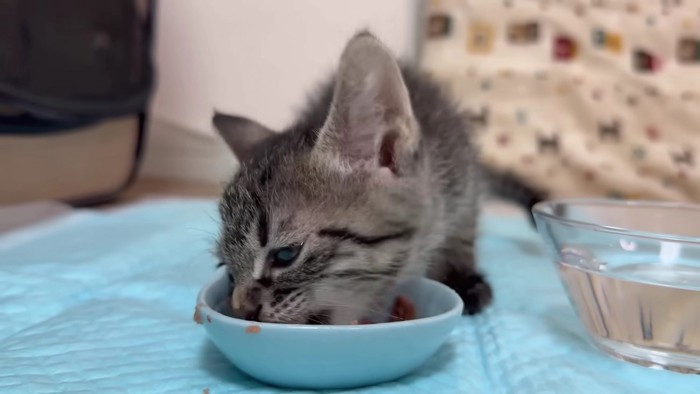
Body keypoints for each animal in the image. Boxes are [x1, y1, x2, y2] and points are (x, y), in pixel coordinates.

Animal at [211, 30, 540, 324]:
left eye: (285, 255)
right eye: (226, 267)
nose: (243, 310)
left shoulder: (464, 180)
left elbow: (463, 232)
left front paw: (462, 275)